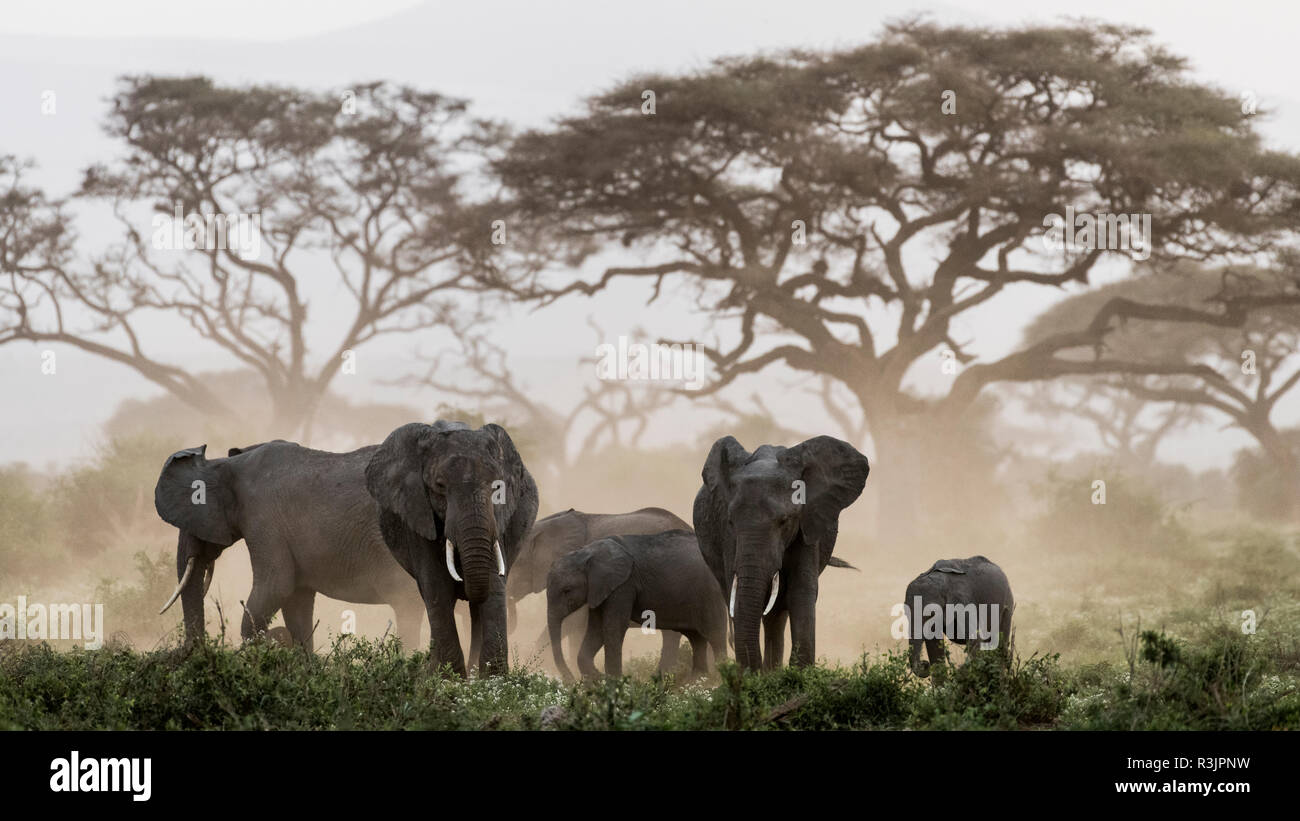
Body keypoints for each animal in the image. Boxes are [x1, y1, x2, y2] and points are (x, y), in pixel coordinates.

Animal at [364, 420, 535, 675]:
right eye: (440, 486)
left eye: (497, 487)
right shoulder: (418, 515)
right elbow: (437, 588)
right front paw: (448, 679)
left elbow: (493, 586)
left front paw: (493, 679)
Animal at [543, 530, 728, 680]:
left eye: (567, 590)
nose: (571, 682)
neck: (587, 552)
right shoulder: (600, 590)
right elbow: (596, 630)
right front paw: (599, 679)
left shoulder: (623, 585)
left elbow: (613, 627)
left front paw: (614, 683)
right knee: (696, 639)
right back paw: (696, 681)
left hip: (710, 593)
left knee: (715, 635)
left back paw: (718, 678)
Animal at [696, 433, 868, 670]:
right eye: (731, 521)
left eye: (784, 520)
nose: (753, 673)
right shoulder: (728, 537)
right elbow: (737, 592)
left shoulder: (808, 523)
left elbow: (801, 592)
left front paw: (799, 675)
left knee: (776, 612)